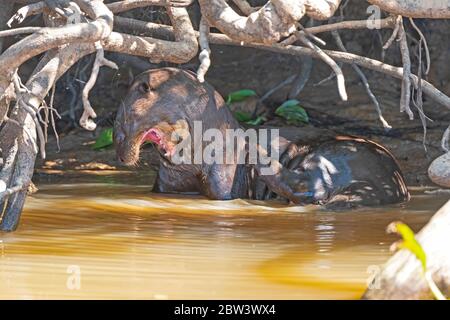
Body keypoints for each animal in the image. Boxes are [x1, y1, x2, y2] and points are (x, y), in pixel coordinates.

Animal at [114, 68, 410, 208]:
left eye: (121, 124)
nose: (118, 145)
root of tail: (388, 186)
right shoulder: (166, 184)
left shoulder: (224, 181)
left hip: (333, 155)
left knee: (310, 187)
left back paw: (257, 149)